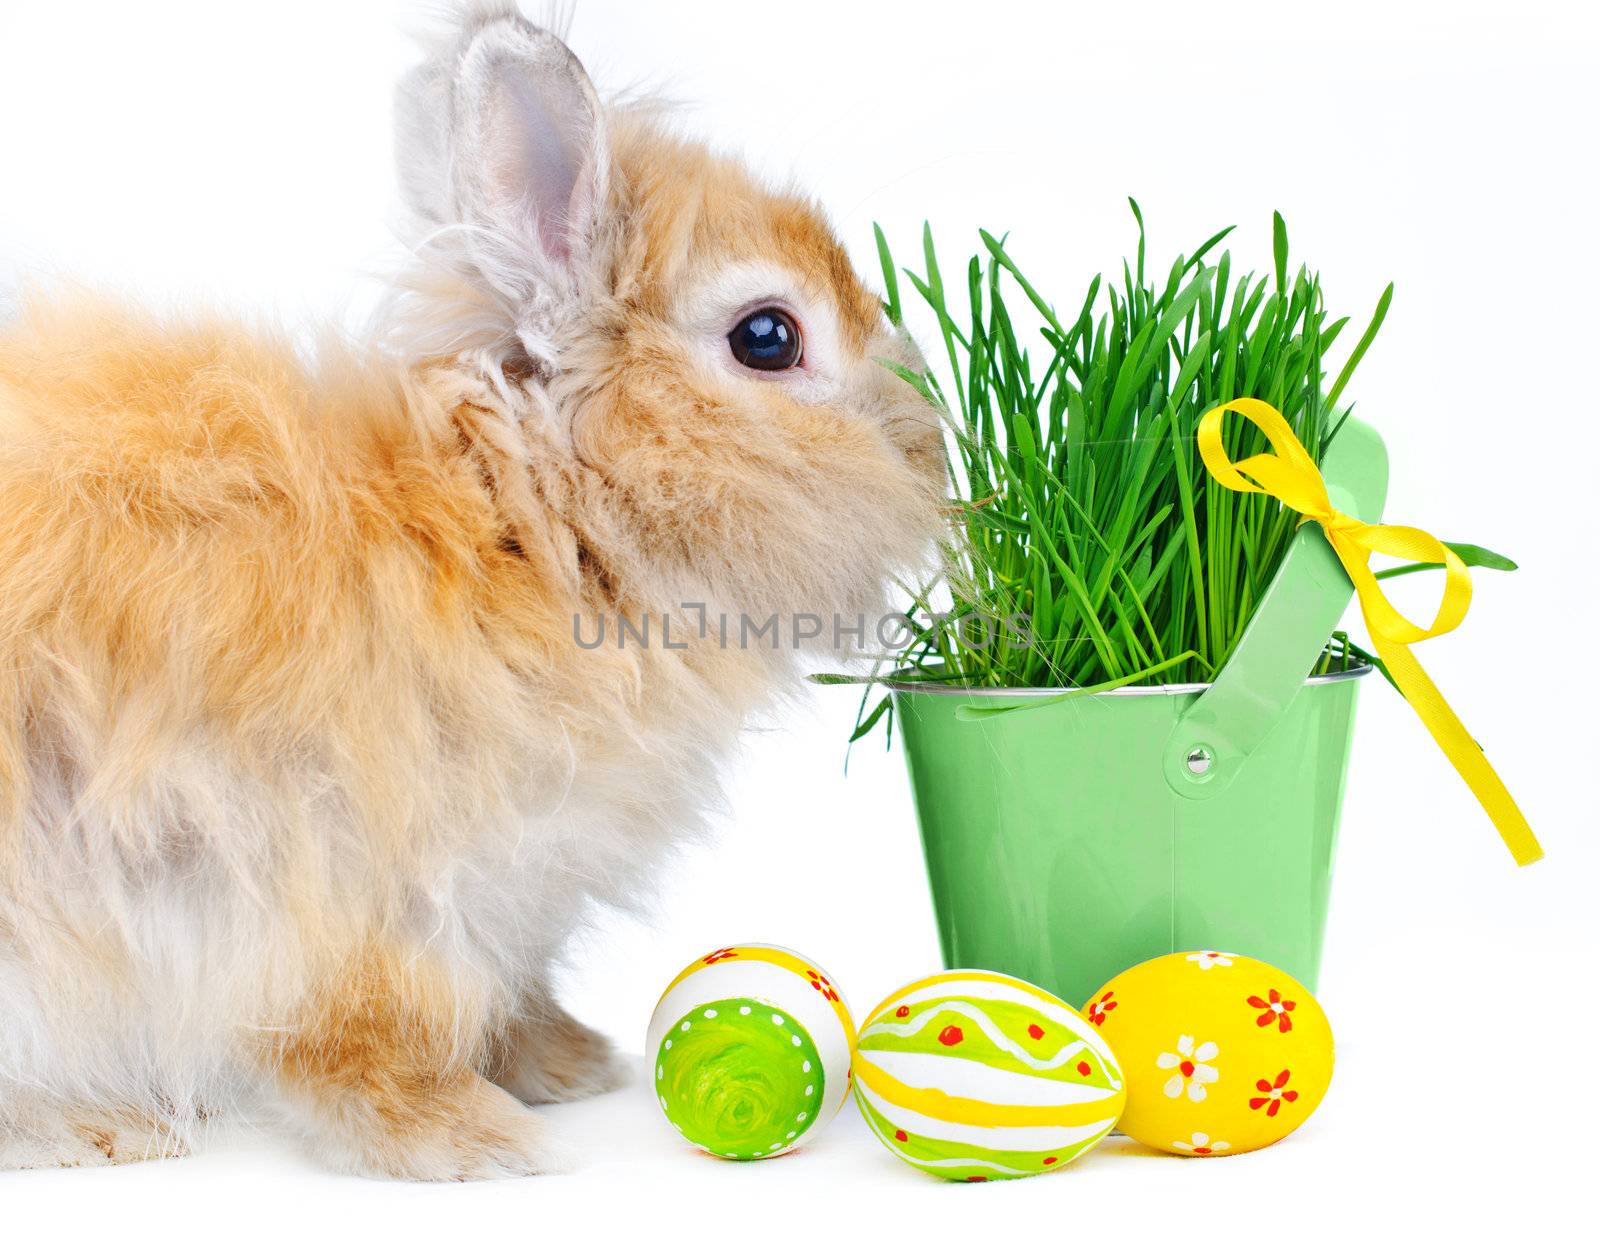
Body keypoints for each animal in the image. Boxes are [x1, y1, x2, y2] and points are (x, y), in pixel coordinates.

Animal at [0, 0, 940, 1184]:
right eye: (768, 336)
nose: (927, 445)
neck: (530, 523)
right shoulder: (344, 886)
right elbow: (361, 1040)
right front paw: (476, 1142)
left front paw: (565, 1064)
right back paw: (92, 1128)